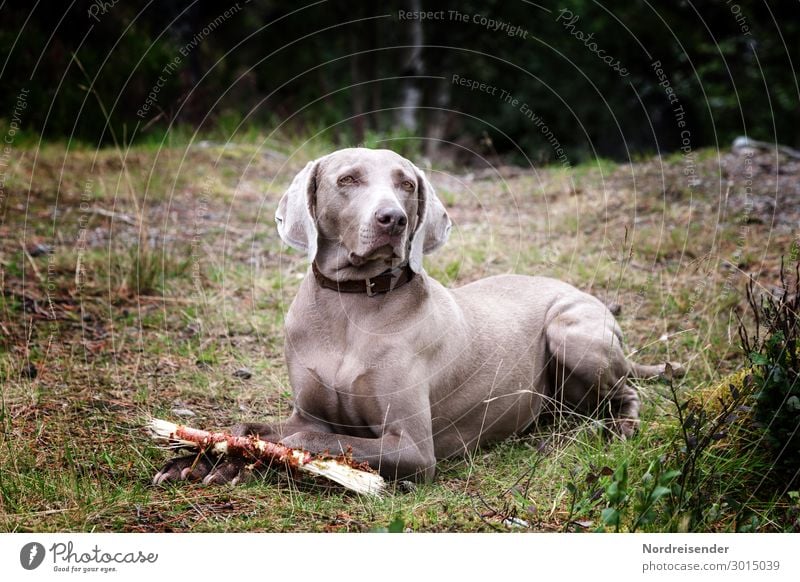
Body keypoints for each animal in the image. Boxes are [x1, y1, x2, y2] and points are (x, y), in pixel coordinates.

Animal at [155, 148, 676, 486]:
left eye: (406, 184)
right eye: (348, 180)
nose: (393, 219)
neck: (353, 306)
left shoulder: (411, 448)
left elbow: (313, 442)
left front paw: (232, 460)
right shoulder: (308, 411)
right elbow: (256, 430)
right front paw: (201, 459)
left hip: (572, 331)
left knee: (629, 391)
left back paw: (620, 427)